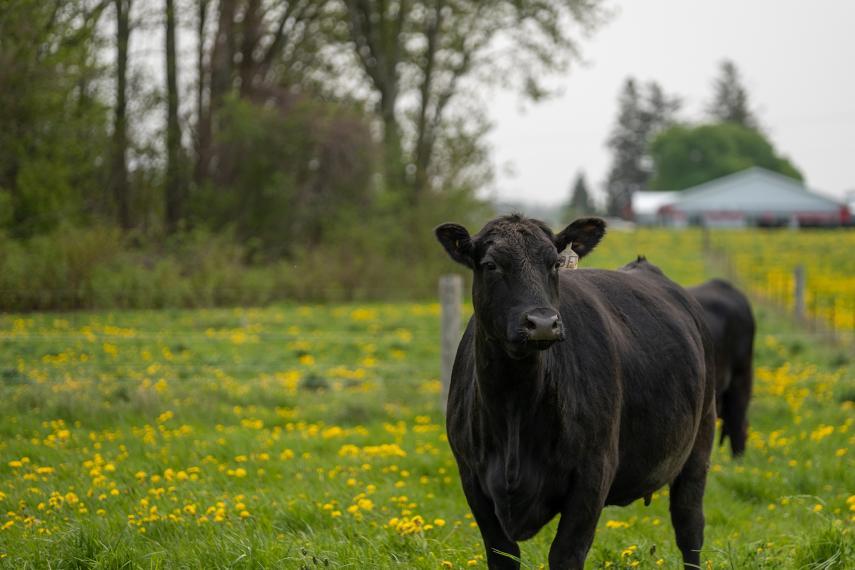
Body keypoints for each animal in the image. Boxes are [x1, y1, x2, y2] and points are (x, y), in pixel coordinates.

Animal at [435, 214, 716, 570]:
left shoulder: (593, 473)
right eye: (490, 265)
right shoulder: (471, 476)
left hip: (699, 441)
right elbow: (502, 554)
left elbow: (566, 553)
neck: (514, 405)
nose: (542, 322)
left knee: (689, 527)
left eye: (555, 264)